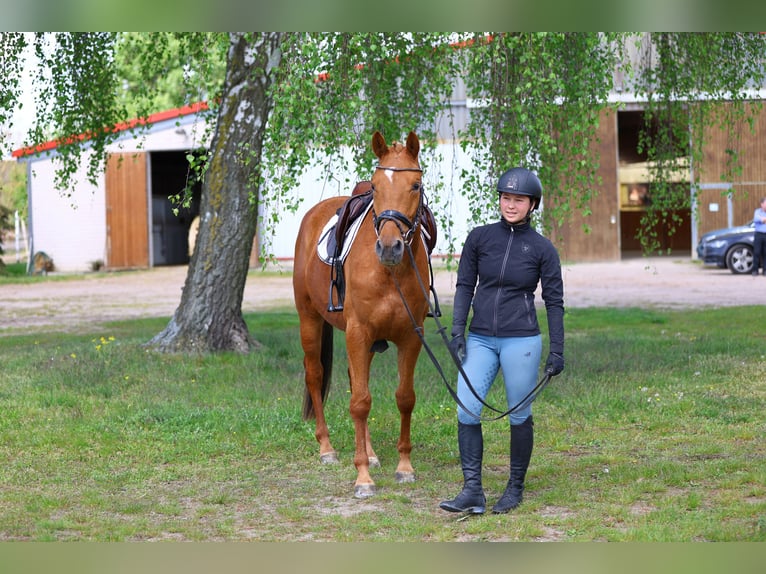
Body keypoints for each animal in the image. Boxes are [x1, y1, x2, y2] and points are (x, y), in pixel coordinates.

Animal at [294, 132, 436, 500]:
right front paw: (362, 478)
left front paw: (404, 467)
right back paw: (327, 448)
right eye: (375, 185)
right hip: (310, 320)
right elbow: (359, 402)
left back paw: (370, 453)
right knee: (316, 376)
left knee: (357, 381)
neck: (390, 273)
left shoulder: (410, 336)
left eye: (416, 185)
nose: (389, 247)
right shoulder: (358, 332)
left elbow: (404, 398)